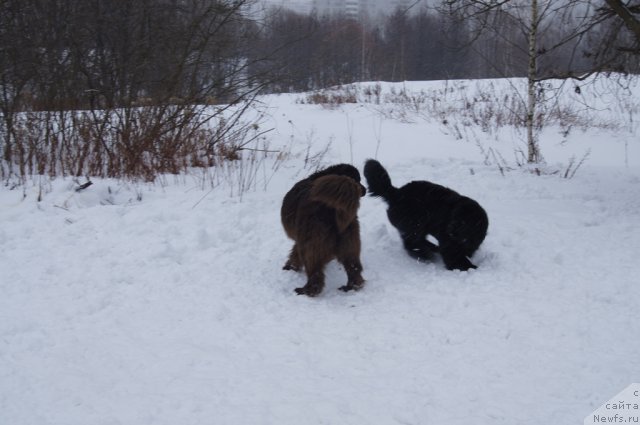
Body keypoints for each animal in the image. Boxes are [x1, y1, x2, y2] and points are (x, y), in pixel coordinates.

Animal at [282, 162, 368, 294]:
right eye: (358, 180)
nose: (365, 189)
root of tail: (331, 207)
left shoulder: (301, 238)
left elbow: (295, 252)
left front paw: (290, 267)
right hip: (349, 240)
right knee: (353, 267)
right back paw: (351, 286)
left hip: (311, 243)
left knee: (315, 271)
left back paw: (307, 290)